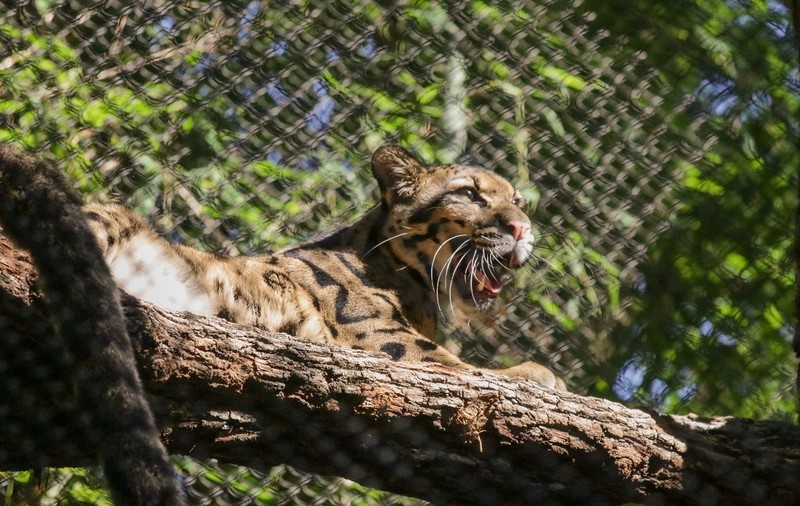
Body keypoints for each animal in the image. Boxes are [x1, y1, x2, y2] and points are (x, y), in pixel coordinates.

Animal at [86, 144, 565, 389]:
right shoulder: (384, 339)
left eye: (518, 201)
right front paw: (540, 375)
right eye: (469, 194)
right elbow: (463, 367)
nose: (522, 228)